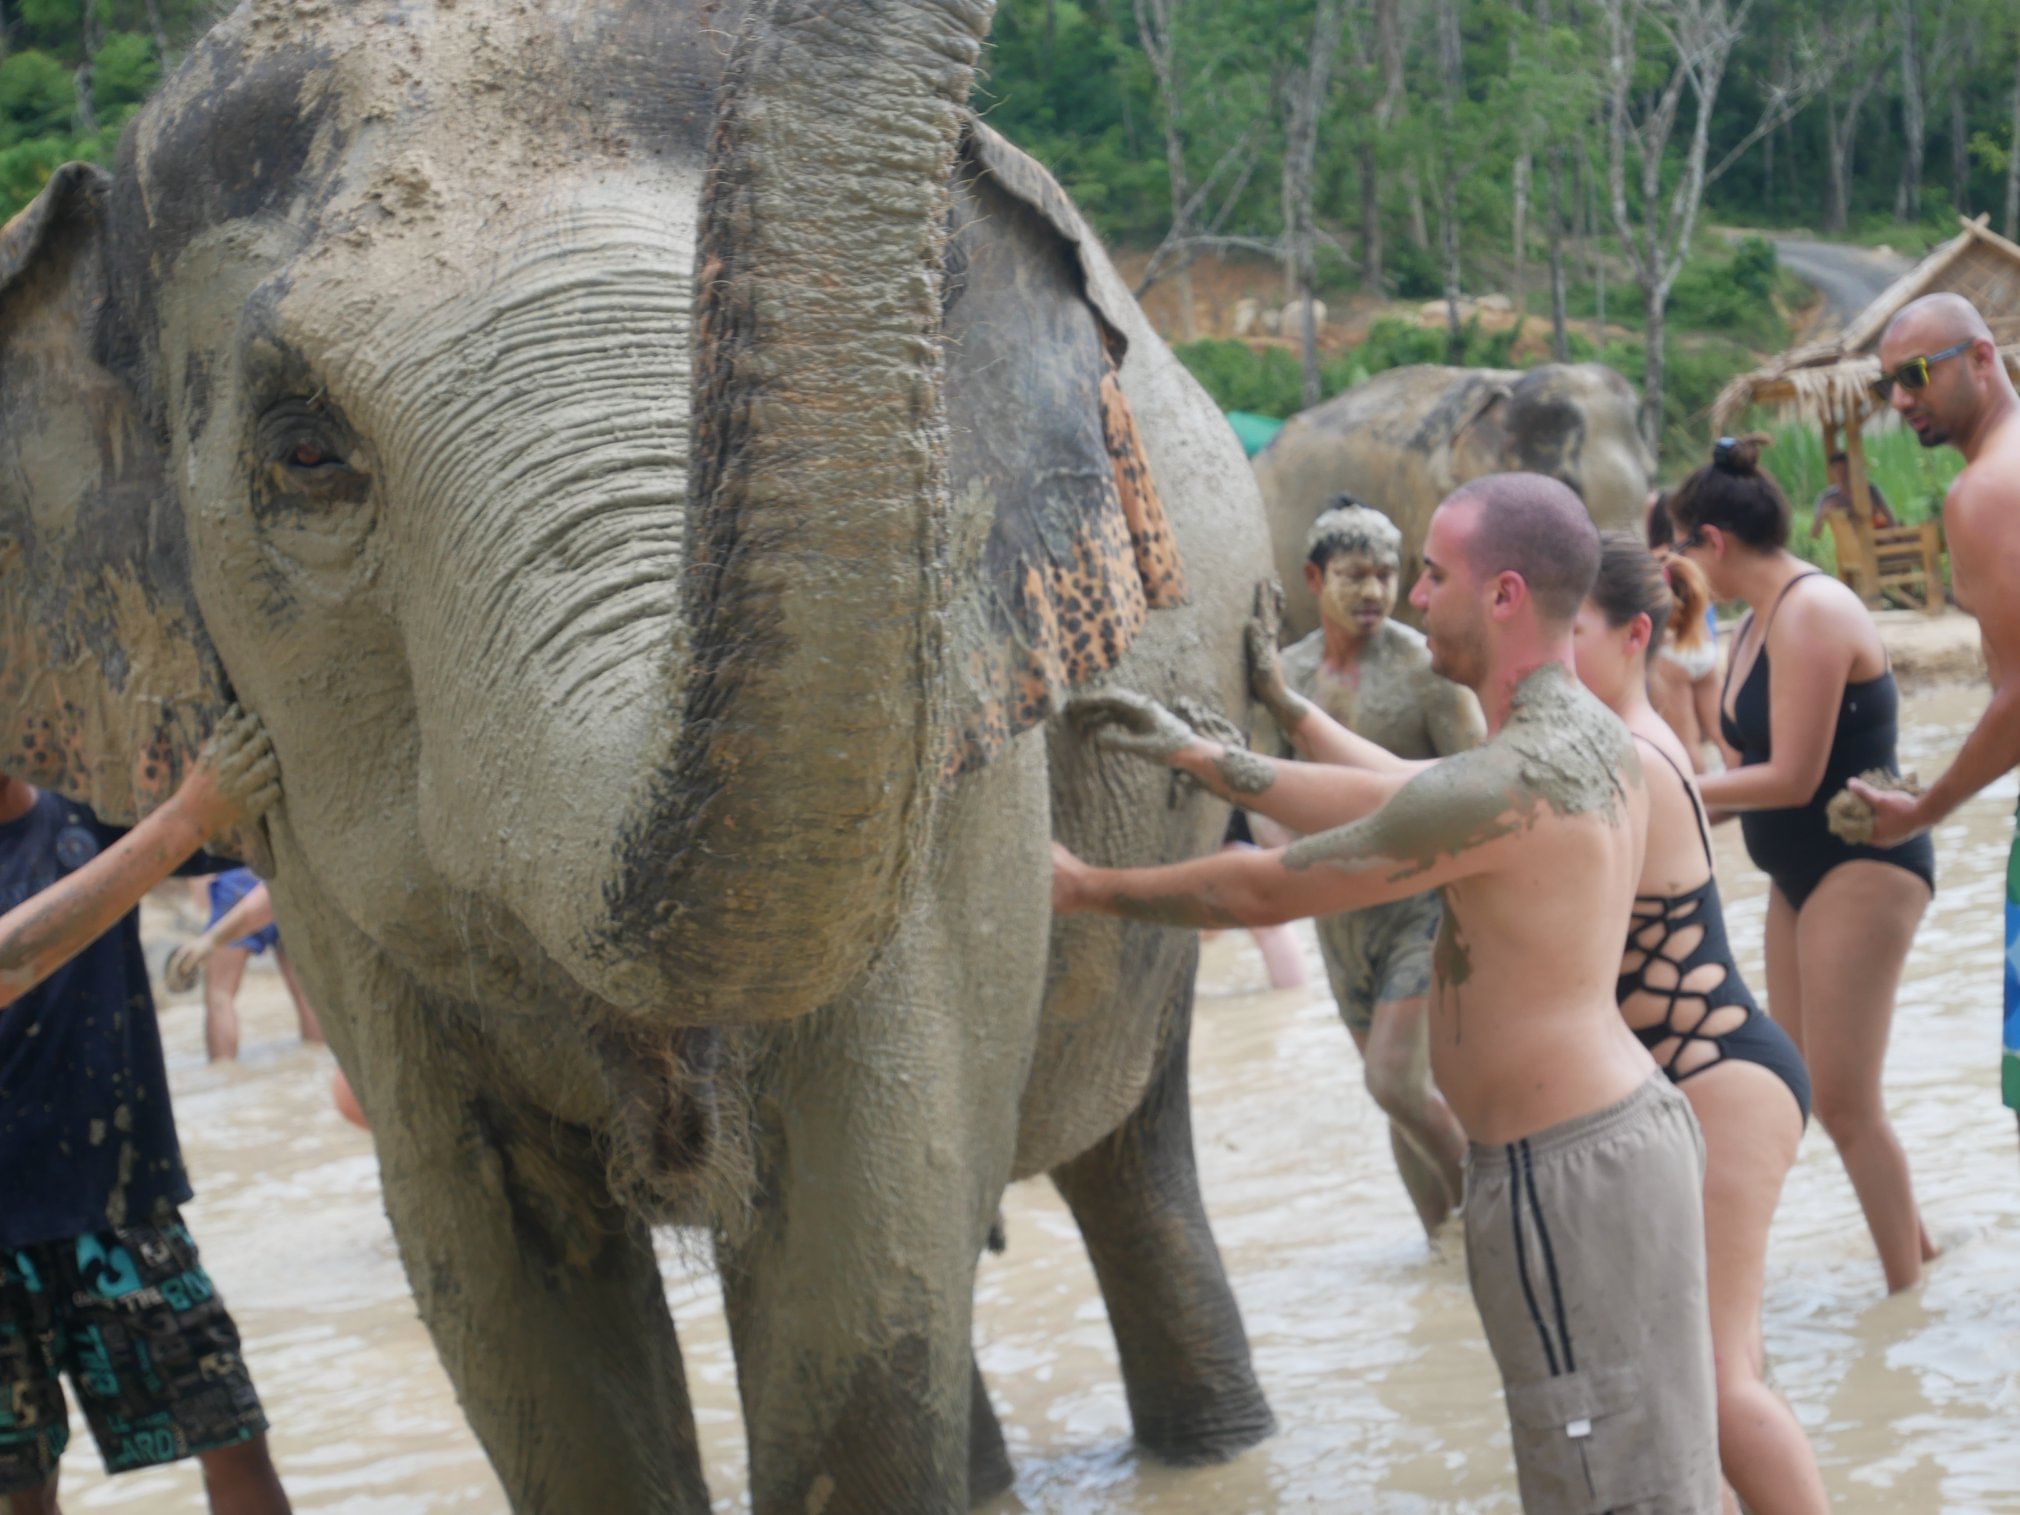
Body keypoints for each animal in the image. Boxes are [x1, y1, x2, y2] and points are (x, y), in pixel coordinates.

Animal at [0, 1, 1279, 1511]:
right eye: (304, 452)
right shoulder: (305, 854)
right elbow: (505, 1296)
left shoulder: (962, 742)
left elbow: (868, 1258)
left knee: (1122, 1149)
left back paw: (1213, 1448)